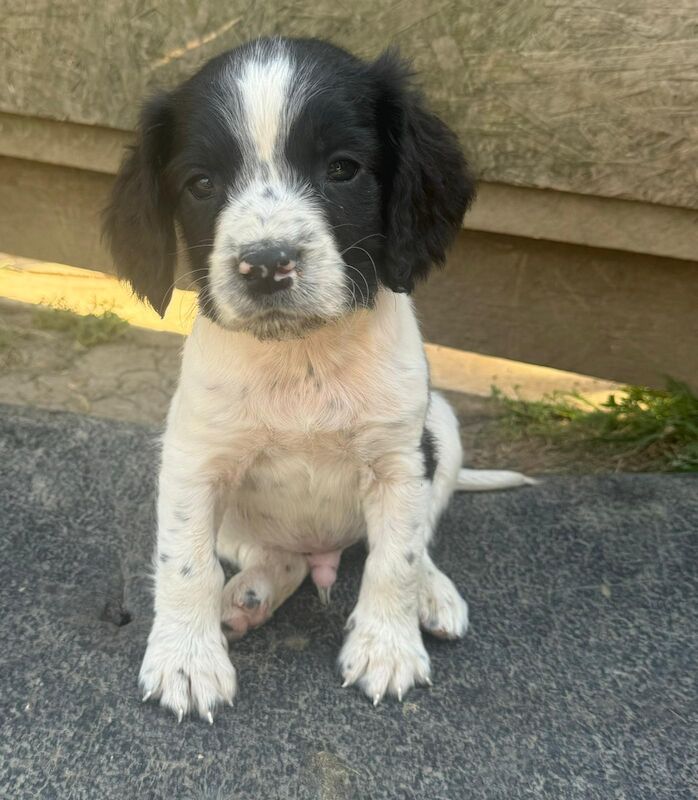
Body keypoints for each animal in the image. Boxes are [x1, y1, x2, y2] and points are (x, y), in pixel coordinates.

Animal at [102, 37, 528, 720]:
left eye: (343, 169)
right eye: (201, 183)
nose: (266, 265)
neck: (301, 357)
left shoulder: (399, 462)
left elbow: (397, 559)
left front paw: (387, 647)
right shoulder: (194, 462)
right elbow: (185, 564)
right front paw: (186, 659)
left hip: (441, 429)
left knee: (418, 539)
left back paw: (431, 593)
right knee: (282, 561)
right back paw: (248, 595)